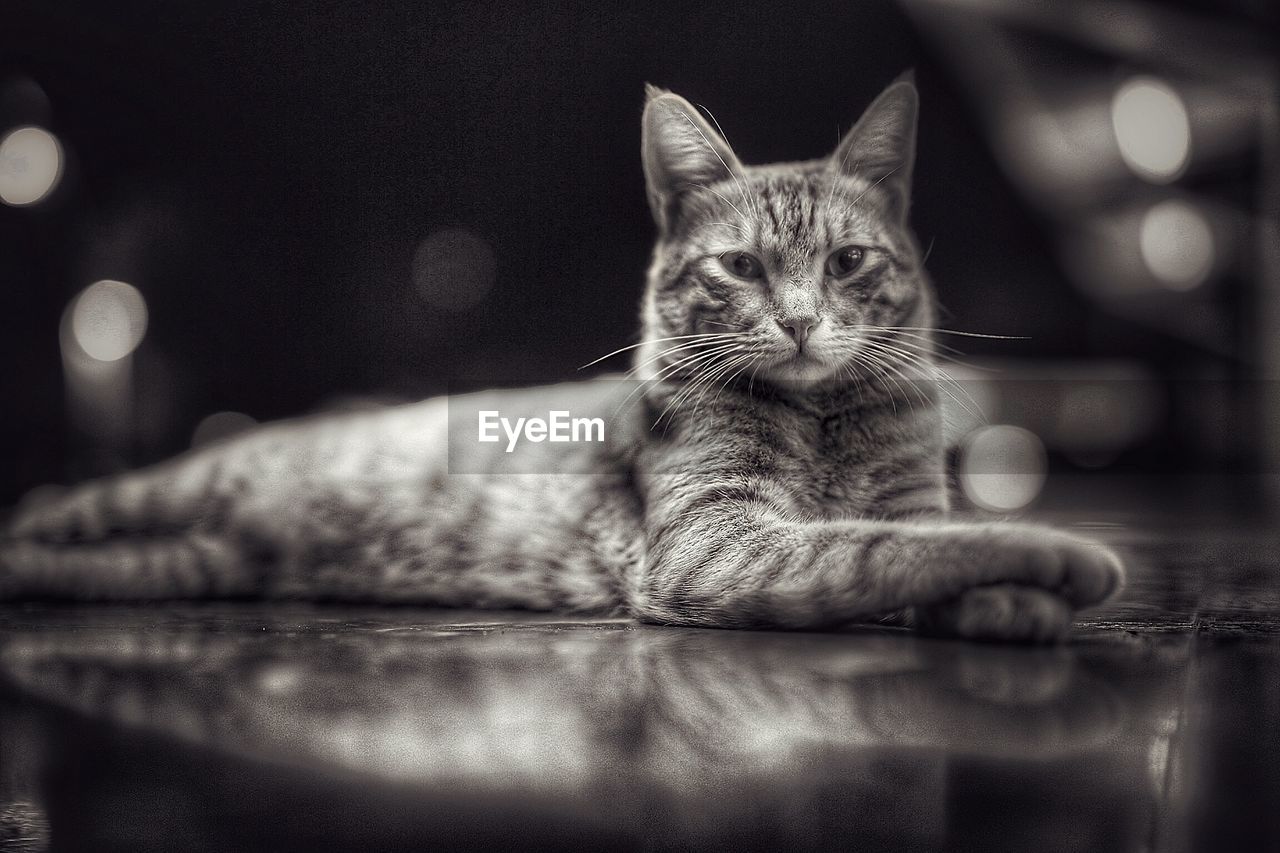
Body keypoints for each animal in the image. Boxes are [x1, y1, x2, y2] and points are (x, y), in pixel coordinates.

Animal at [0, 78, 1121, 637]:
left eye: (847, 262)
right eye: (741, 267)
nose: (802, 322)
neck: (821, 421)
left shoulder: (899, 499)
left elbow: (920, 536)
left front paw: (1011, 602)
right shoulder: (715, 543)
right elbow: (885, 548)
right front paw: (1059, 557)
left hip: (170, 564)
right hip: (153, 495)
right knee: (52, 512)